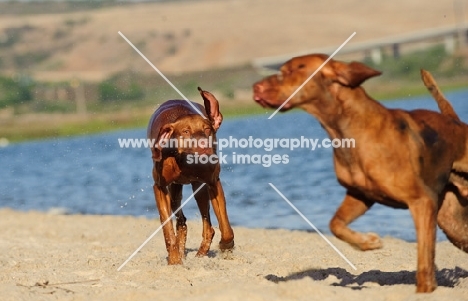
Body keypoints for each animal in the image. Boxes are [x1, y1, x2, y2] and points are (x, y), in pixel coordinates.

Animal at [148, 88, 234, 264]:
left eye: (207, 129)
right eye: (186, 132)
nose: (204, 145)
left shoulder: (213, 182)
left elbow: (226, 226)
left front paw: (226, 245)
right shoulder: (159, 187)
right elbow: (167, 228)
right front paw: (174, 260)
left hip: (198, 189)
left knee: (207, 227)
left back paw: (201, 254)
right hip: (174, 192)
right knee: (180, 221)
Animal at [252, 53, 468, 290]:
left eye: (291, 70)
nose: (255, 87)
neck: (344, 129)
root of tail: (456, 121)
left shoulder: (421, 201)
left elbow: (424, 258)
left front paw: (425, 289)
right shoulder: (360, 195)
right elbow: (335, 224)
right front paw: (368, 242)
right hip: (451, 222)